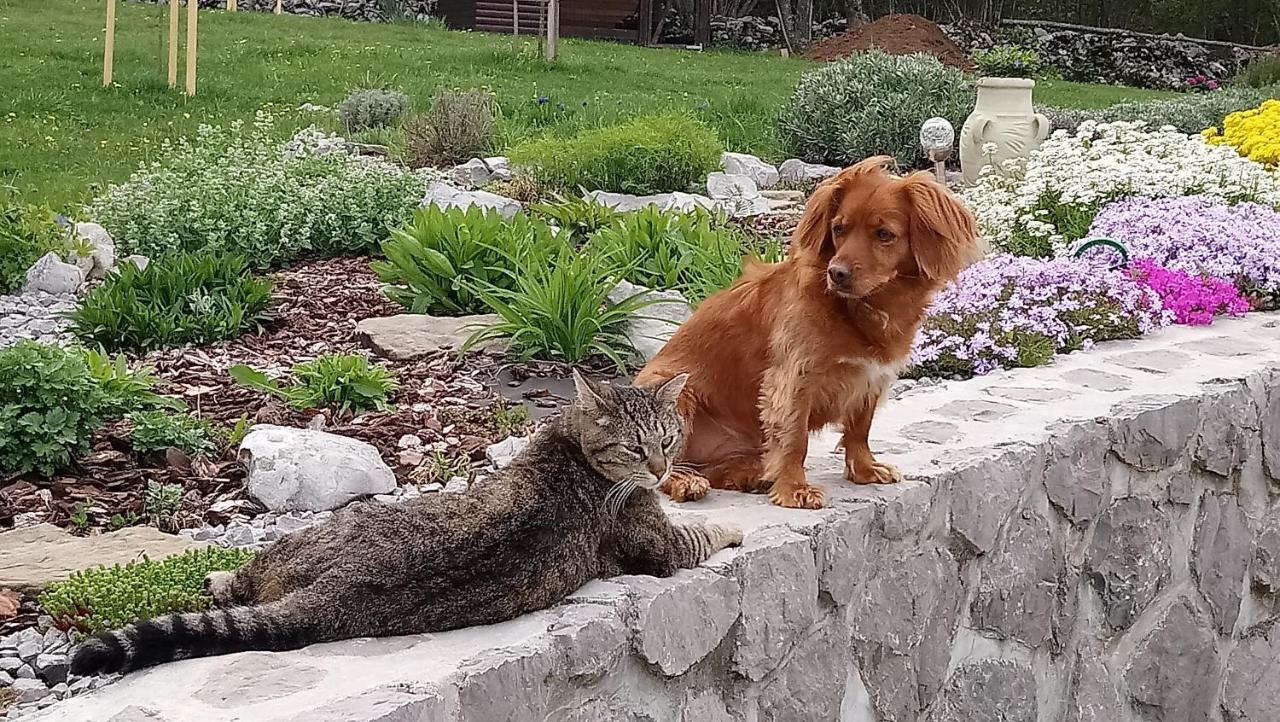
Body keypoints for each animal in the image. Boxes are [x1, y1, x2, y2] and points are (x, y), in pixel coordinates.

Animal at [70, 371, 747, 675]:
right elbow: (703, 534)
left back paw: (217, 578)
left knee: (237, 585)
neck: (572, 447)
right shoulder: (663, 545)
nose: (661, 469)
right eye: (635, 448)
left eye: (667, 438)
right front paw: (735, 528)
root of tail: (330, 597)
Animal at [632, 157, 977, 506]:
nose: (836, 273)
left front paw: (865, 470)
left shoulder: (871, 377)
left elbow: (860, 428)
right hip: (678, 392)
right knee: (664, 463)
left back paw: (748, 475)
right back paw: (687, 481)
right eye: (839, 229)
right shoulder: (793, 378)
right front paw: (793, 489)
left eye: (884, 234)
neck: (861, 308)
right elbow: (795, 438)